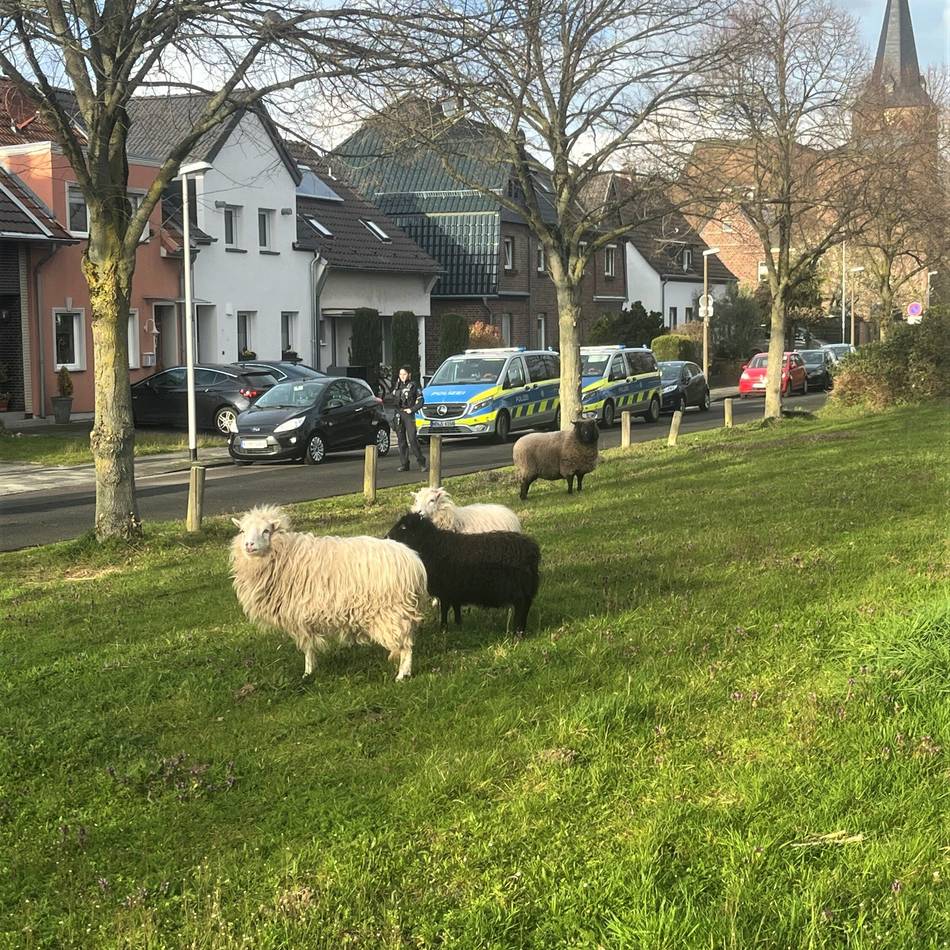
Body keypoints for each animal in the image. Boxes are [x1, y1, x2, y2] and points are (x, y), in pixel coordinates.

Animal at [230, 505, 428, 680]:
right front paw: (310, 671)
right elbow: (309, 646)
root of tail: (414, 562)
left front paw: (307, 673)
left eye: (266, 531)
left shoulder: (298, 614)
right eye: (242, 531)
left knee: (406, 645)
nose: (249, 545)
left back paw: (402, 675)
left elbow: (307, 646)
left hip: (391, 612)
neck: (284, 554)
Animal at [386, 512, 540, 637]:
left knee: (522, 608)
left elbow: (445, 609)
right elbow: (456, 607)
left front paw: (443, 629)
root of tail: (532, 551)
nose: (386, 537)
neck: (432, 546)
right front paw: (459, 625)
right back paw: (521, 631)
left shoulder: (446, 590)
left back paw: (518, 633)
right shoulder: (455, 590)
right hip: (527, 590)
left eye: (403, 527)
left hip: (519, 591)